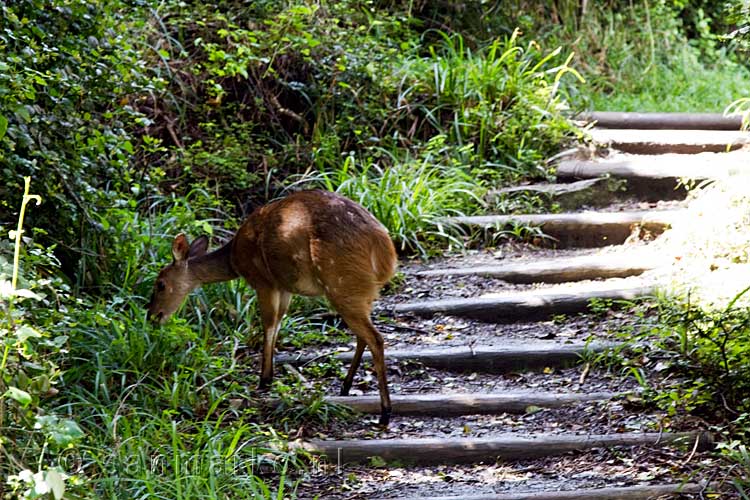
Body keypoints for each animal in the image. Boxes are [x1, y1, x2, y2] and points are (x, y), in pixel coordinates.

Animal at [146, 190, 400, 426]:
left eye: (160, 284)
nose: (152, 316)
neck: (235, 259)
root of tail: (385, 253)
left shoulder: (263, 281)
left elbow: (267, 323)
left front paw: (264, 378)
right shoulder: (284, 286)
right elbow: (278, 321)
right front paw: (270, 375)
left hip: (342, 284)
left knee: (375, 337)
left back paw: (385, 412)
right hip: (360, 292)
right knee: (363, 335)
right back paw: (346, 386)